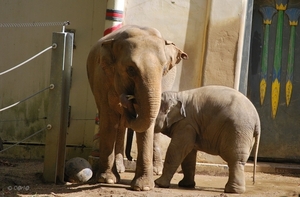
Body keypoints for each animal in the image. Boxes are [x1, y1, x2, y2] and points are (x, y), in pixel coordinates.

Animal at [85, 25, 186, 191]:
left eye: (165, 68)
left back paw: (156, 170)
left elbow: (147, 124)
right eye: (131, 69)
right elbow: (109, 118)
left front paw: (144, 187)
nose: (127, 98)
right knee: (117, 124)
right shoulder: (102, 77)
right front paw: (108, 180)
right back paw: (119, 169)